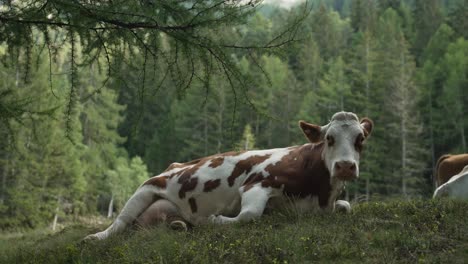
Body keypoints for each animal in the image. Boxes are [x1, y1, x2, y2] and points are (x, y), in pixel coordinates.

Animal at [86, 110, 374, 240]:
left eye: (360, 139)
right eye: (329, 138)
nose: (345, 166)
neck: (320, 194)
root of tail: (175, 165)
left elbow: (347, 206)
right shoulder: (257, 184)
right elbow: (249, 215)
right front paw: (215, 220)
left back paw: (179, 225)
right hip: (146, 187)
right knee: (120, 222)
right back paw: (94, 238)